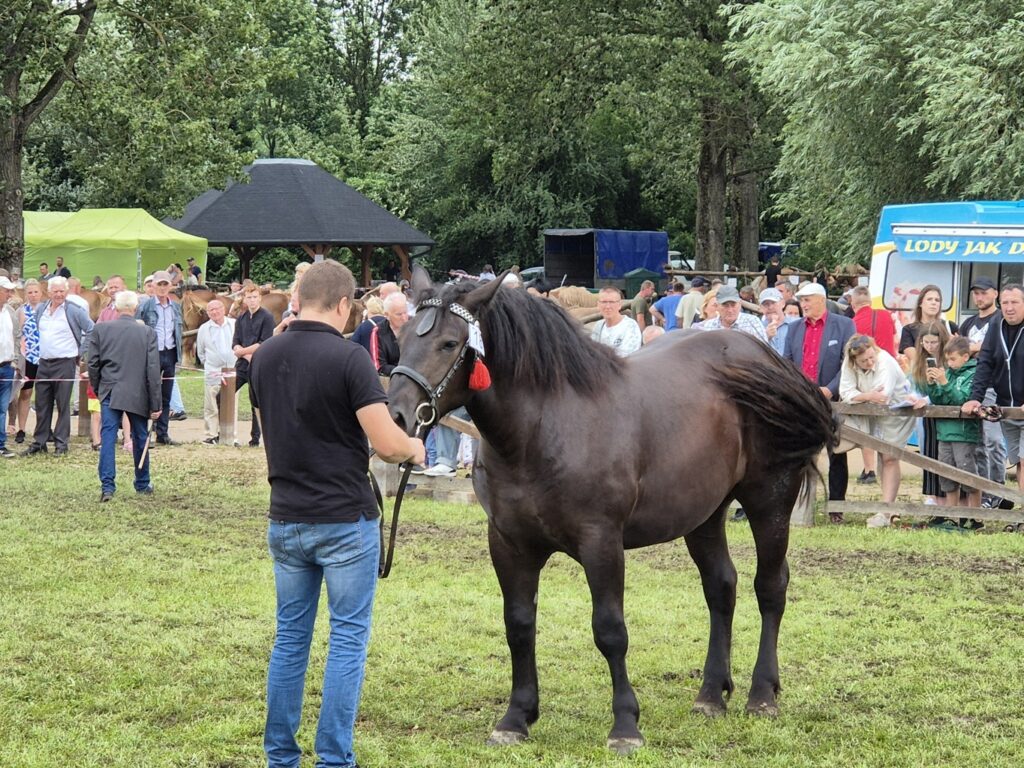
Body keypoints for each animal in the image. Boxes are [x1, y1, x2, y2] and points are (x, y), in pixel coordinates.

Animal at [387, 270, 835, 757]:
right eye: (402, 336)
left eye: (450, 343)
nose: (396, 416)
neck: (543, 428)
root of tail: (764, 356)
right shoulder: (508, 543)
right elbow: (519, 625)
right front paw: (515, 718)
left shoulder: (600, 541)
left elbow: (610, 630)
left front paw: (625, 725)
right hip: (704, 515)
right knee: (721, 588)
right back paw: (710, 695)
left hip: (769, 498)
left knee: (770, 587)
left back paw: (762, 694)